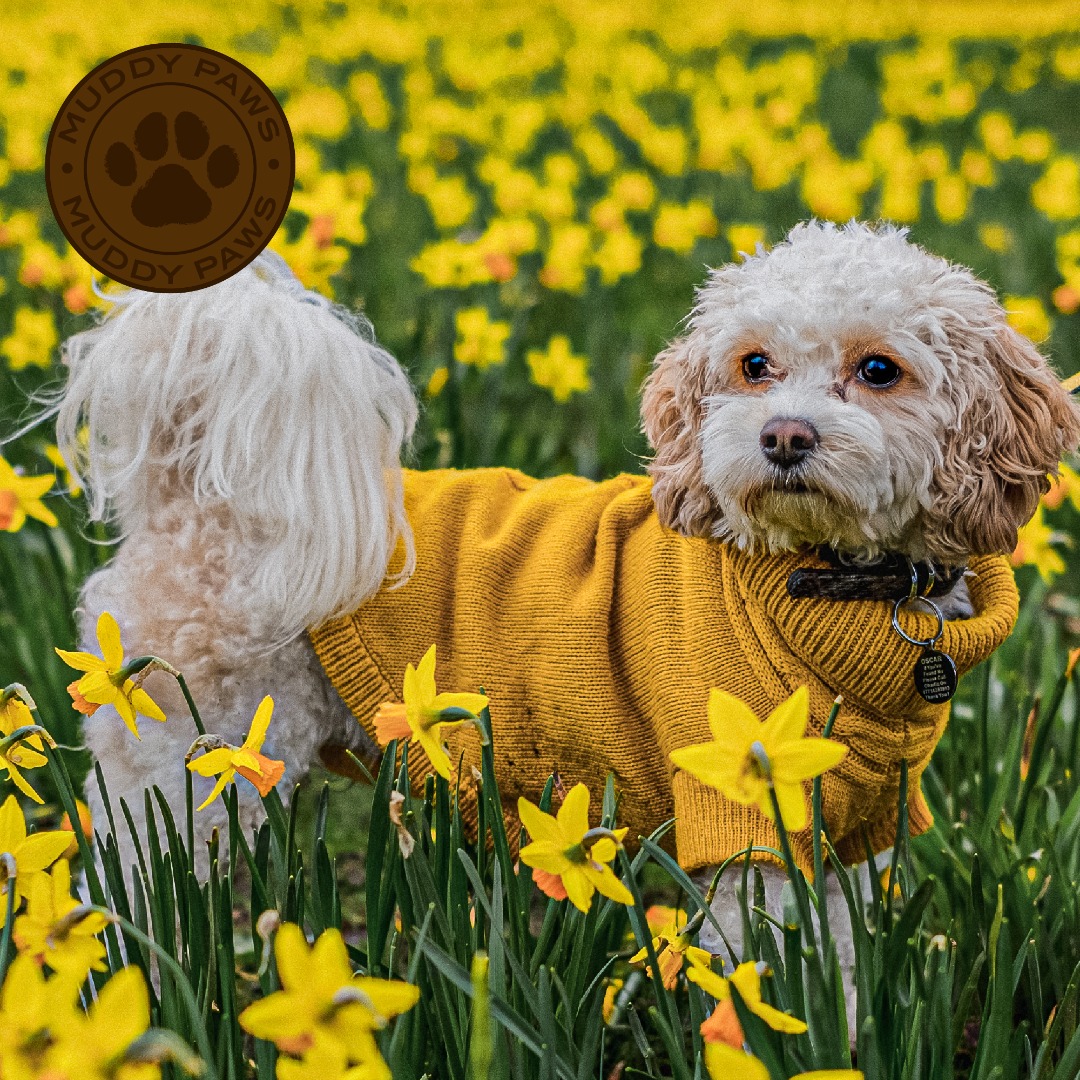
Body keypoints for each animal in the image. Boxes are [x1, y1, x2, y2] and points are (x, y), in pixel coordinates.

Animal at [48, 221, 1080, 1028]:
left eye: (880, 370)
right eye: (754, 365)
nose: (783, 436)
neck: (832, 588)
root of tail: (196, 497)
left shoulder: (855, 831)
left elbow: (844, 967)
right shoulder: (745, 831)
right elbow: (765, 970)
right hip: (186, 768)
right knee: (126, 889)